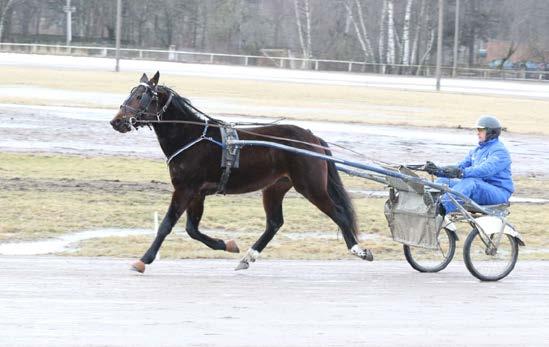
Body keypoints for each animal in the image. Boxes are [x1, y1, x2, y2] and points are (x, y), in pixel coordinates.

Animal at [108, 72, 370, 274]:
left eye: (140, 96)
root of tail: (312, 137)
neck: (192, 137)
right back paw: (247, 257)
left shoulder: (185, 188)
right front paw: (227, 244)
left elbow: (167, 225)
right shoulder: (197, 193)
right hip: (275, 187)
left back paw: (359, 250)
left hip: (311, 186)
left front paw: (143, 260)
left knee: (338, 213)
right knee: (274, 222)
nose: (116, 121)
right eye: (130, 93)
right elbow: (192, 229)